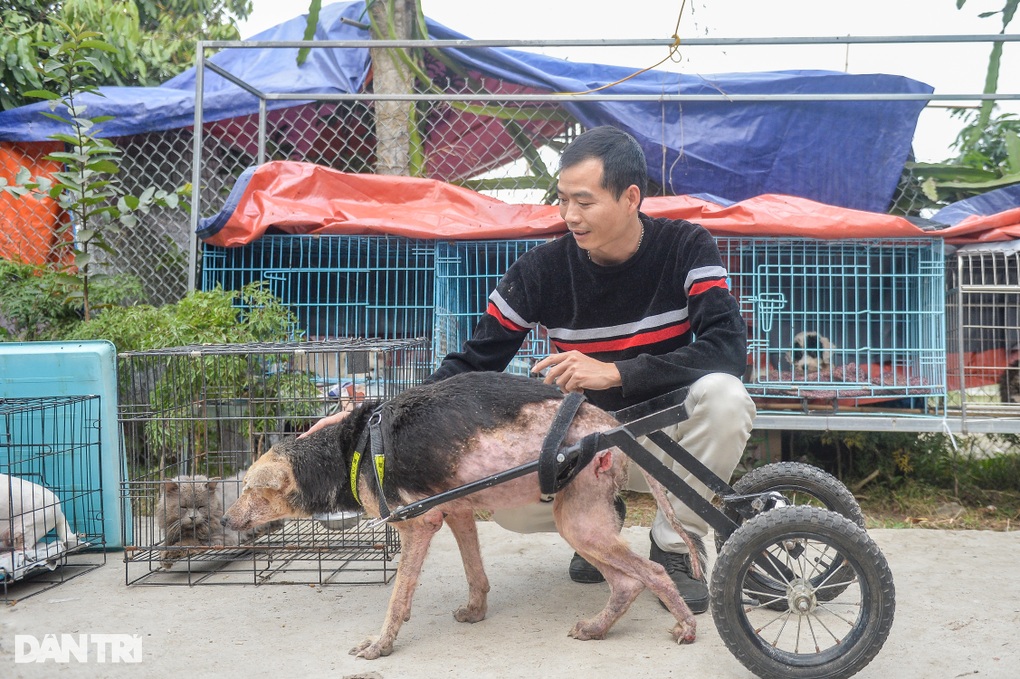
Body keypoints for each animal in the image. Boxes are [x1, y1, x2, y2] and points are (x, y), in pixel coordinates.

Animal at [223, 371, 701, 656]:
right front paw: (475, 612)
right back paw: (597, 628)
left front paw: (381, 645)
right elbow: (476, 574)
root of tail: (606, 420)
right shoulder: (457, 514)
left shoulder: (418, 525)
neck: (351, 449)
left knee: (652, 574)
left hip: (580, 526)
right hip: (583, 522)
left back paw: (686, 627)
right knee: (626, 582)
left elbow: (398, 598)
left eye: (248, 489)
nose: (226, 522)